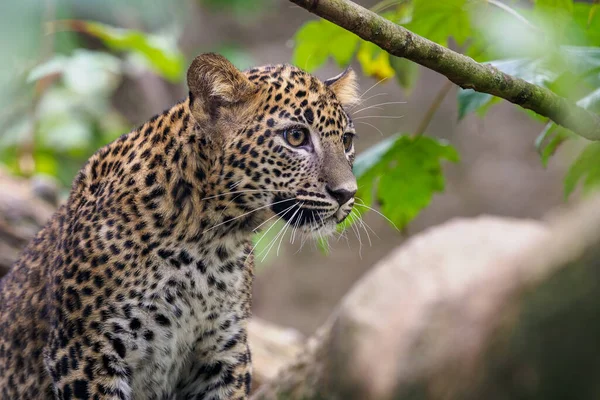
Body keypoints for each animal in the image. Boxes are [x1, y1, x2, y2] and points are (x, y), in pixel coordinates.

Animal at [0, 54, 356, 400]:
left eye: (347, 140)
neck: (209, 241)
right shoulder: (85, 354)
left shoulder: (224, 353)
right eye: (295, 137)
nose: (347, 193)